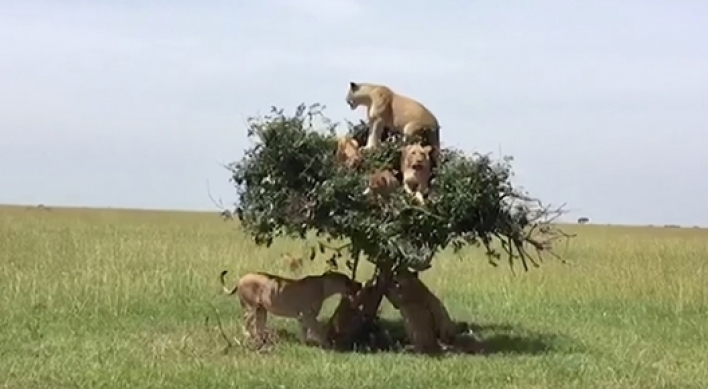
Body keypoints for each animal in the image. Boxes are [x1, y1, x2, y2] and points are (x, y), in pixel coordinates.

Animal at [218, 268, 362, 348]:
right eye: (347, 281)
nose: (360, 284)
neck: (324, 285)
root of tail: (240, 278)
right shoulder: (308, 315)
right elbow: (319, 329)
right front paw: (327, 345)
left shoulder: (303, 316)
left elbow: (305, 330)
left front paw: (304, 345)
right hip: (251, 307)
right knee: (246, 321)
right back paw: (248, 337)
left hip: (261, 309)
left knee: (258, 325)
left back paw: (262, 340)